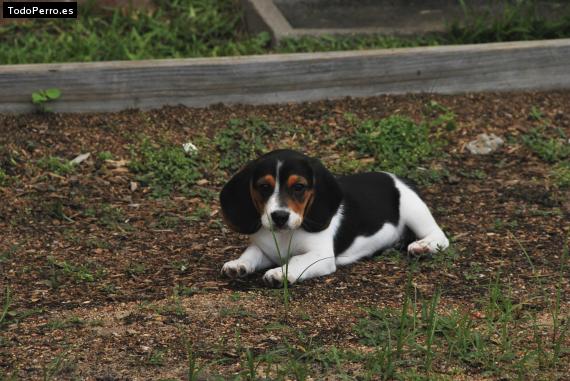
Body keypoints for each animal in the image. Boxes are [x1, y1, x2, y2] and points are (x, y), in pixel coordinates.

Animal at [220, 148, 446, 284]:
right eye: (264, 187)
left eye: (299, 187)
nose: (279, 216)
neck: (287, 234)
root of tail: (398, 177)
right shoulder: (265, 249)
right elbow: (251, 253)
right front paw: (238, 264)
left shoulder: (321, 256)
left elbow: (297, 260)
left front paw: (279, 273)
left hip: (413, 209)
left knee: (440, 236)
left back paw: (423, 246)